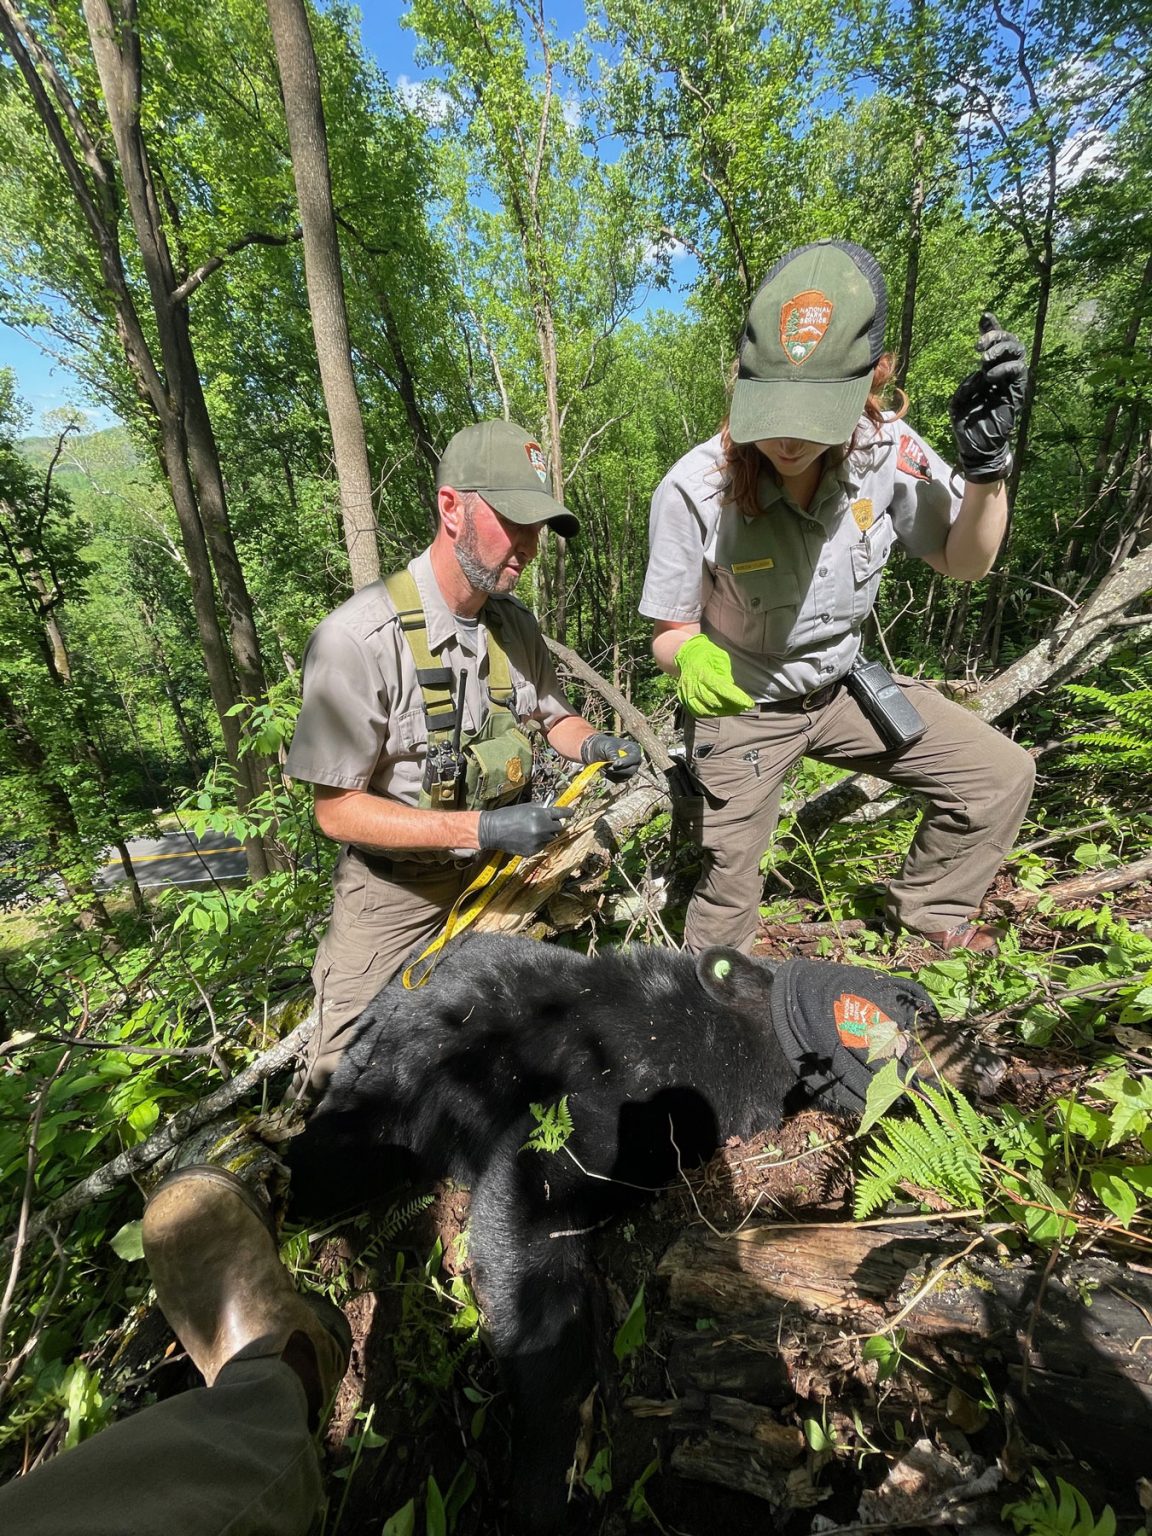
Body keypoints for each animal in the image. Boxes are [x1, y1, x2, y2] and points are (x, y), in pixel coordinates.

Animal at [293, 927, 989, 1529]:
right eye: (902, 1005)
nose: (990, 1063)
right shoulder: (631, 1088)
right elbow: (535, 1192)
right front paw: (548, 1471)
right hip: (379, 1100)